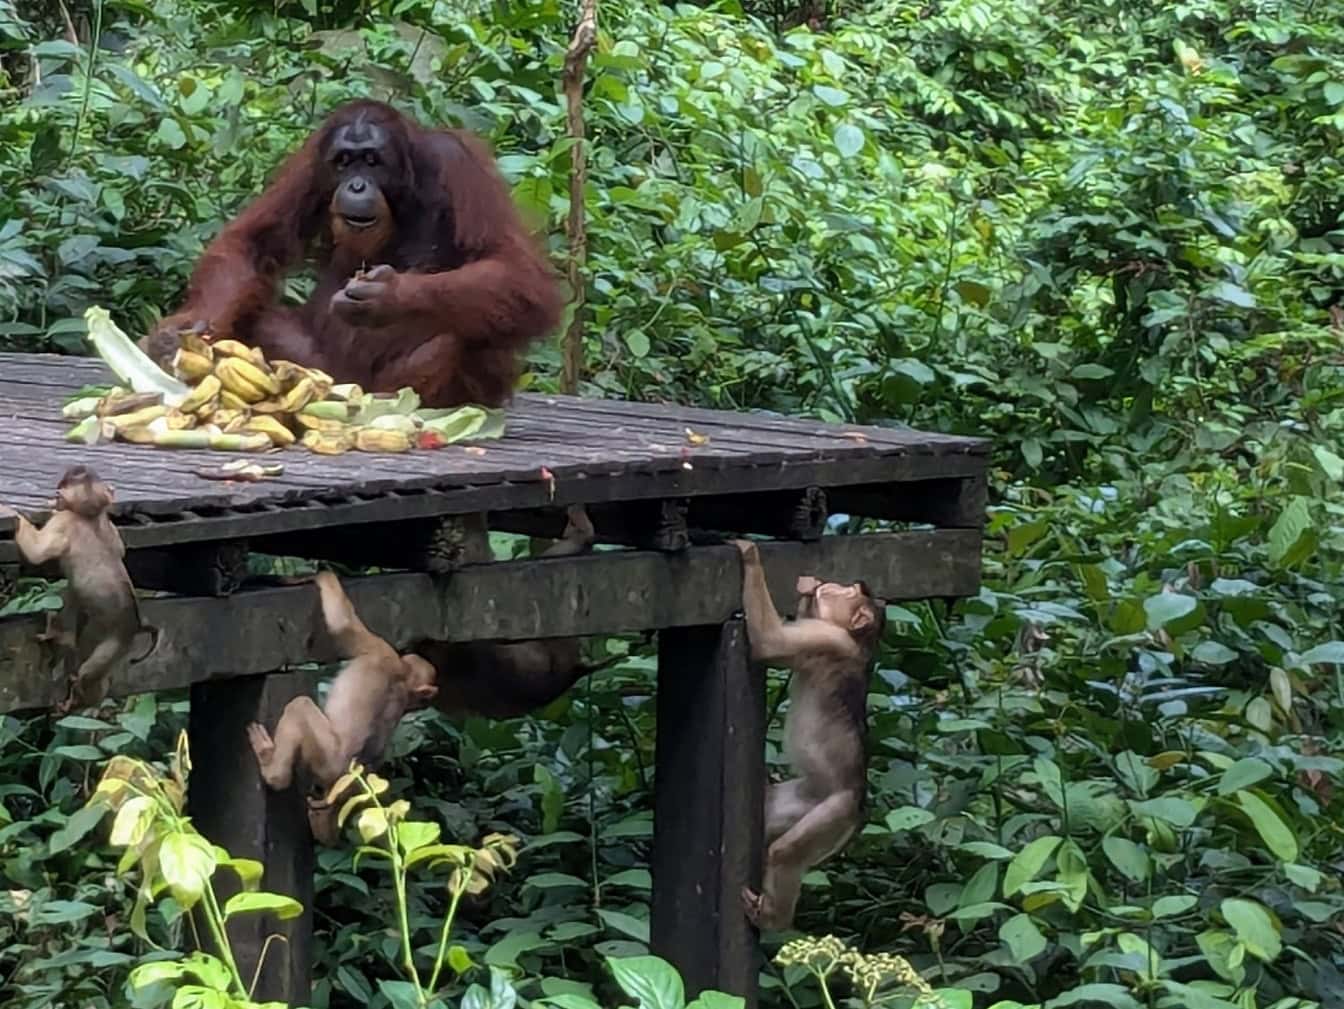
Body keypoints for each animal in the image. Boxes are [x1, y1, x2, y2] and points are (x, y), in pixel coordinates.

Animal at [0, 464, 157, 709]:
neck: (90, 515)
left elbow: (37, 552)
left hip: (113, 643)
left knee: (89, 673)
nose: (55, 501)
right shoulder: (109, 525)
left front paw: (12, 512)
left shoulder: (63, 521)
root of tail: (136, 625)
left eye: (60, 494)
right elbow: (121, 551)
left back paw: (75, 697)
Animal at [248, 572, 440, 832]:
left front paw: (321, 575)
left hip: (326, 759)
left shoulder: (381, 650)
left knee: (300, 705)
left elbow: (342, 623)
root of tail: (341, 773)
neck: (403, 678)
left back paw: (273, 769)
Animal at [731, 537, 887, 929]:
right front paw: (806, 589)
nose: (852, 582)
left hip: (835, 811)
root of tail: (859, 808)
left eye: (850, 592)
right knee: (772, 813)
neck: (857, 642)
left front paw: (749, 553)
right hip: (805, 799)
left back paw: (772, 918)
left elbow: (770, 643)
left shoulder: (827, 638)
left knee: (785, 852)